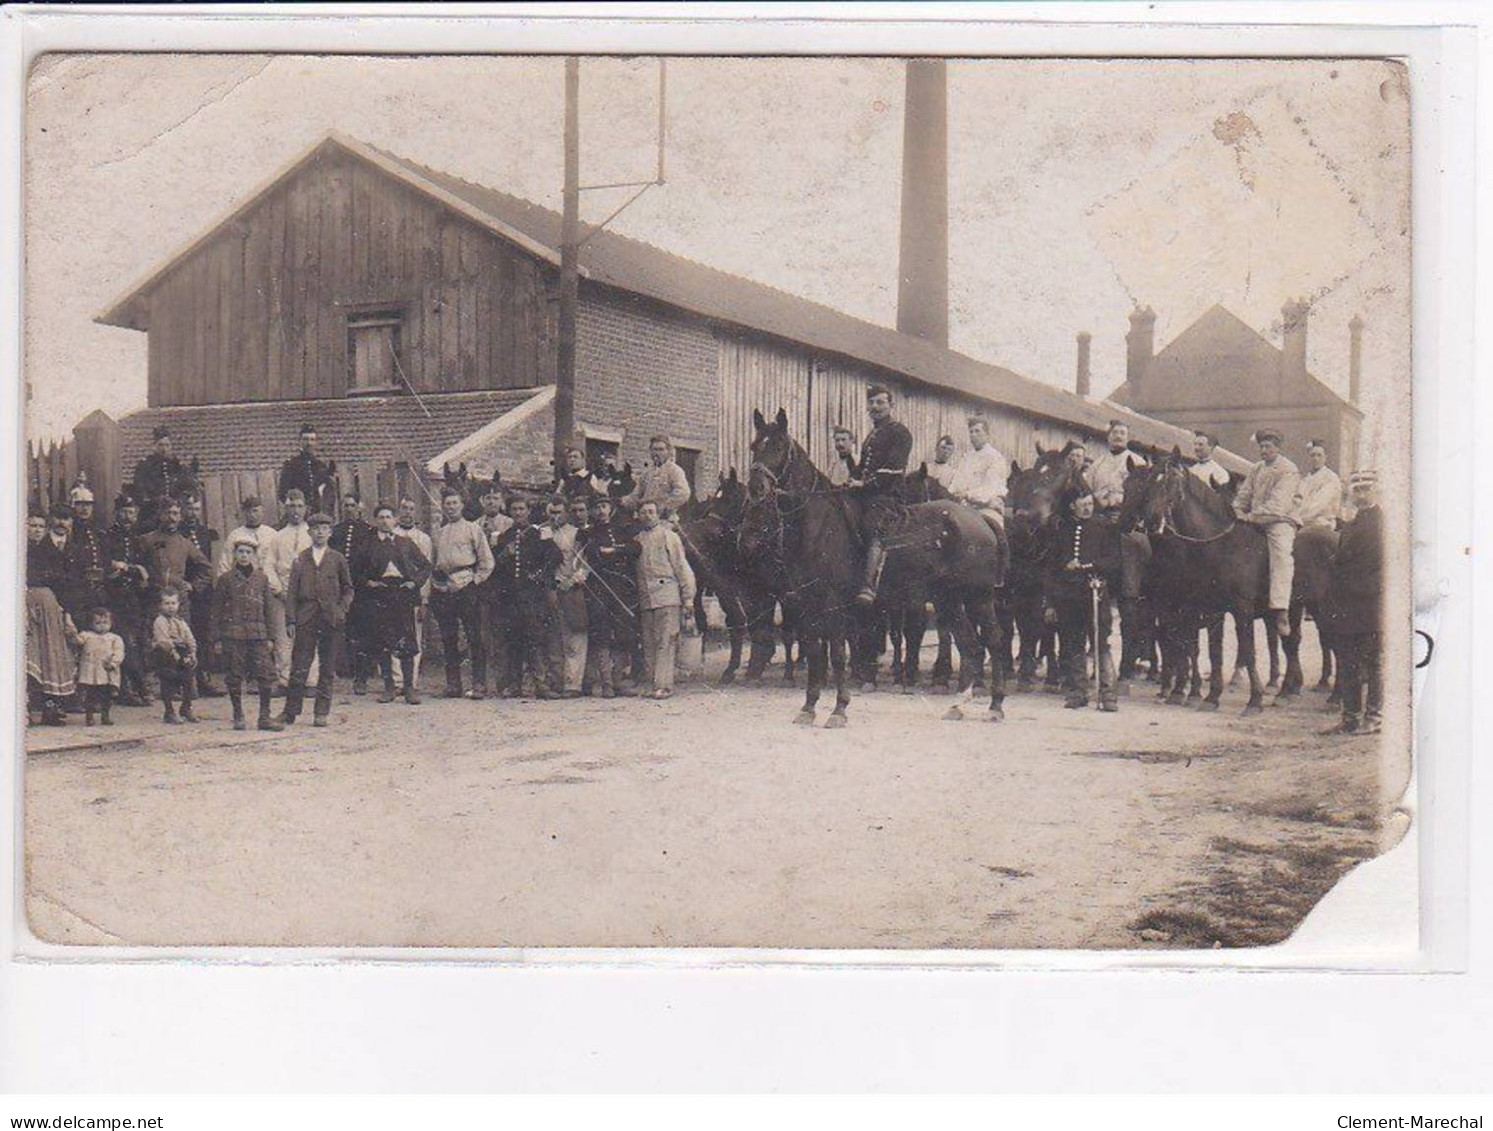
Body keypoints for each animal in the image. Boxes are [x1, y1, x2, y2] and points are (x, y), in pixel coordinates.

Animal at [743, 411, 1009, 731]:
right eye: (755, 445)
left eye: (779, 447)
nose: (756, 488)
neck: (817, 523)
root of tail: (981, 520)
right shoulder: (807, 604)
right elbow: (815, 653)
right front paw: (808, 707)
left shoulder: (833, 604)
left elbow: (837, 654)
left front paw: (839, 709)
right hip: (949, 601)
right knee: (971, 647)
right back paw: (958, 705)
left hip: (978, 597)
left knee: (993, 641)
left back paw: (995, 705)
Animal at [1134, 450, 1301, 716]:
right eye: (1149, 481)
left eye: (1171, 481)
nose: (1150, 522)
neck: (1222, 546)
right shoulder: (1211, 609)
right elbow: (1212, 651)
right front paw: (1210, 696)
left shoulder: (1241, 609)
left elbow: (1247, 650)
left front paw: (1254, 700)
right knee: (1290, 644)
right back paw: (1287, 691)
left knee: (1290, 643)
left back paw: (1288, 691)